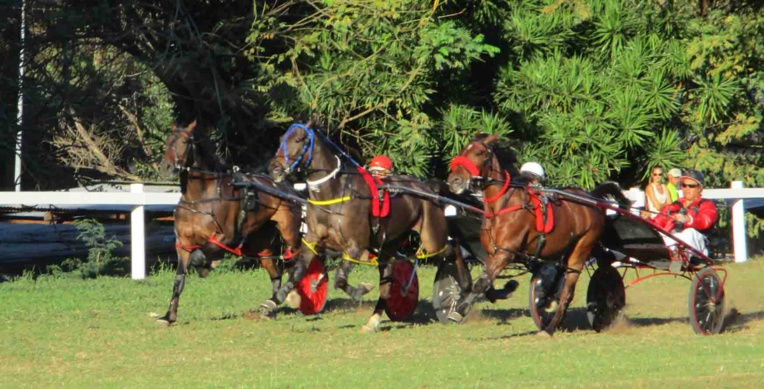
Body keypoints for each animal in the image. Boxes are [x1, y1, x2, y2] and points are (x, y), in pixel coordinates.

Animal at [156, 121, 302, 324]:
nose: (166, 168)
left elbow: (198, 257)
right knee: (275, 274)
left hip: (290, 233)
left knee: (299, 263)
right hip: (261, 244)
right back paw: (271, 306)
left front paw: (207, 265)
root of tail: (288, 189)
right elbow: (179, 279)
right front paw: (169, 316)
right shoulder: (183, 243)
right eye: (168, 141)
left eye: (185, 141)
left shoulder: (226, 237)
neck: (200, 198)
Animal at [268, 123, 472, 330]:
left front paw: (361, 290)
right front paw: (280, 298)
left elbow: (340, 279)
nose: (274, 168)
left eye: (299, 139)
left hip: (432, 238)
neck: (336, 193)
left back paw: (465, 288)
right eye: (281, 139)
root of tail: (429, 189)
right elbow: (297, 272)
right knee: (387, 282)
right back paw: (373, 320)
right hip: (390, 246)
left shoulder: (355, 246)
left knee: (454, 248)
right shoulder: (312, 241)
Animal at [444, 133, 628, 334]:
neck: (503, 206)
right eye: (463, 150)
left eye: (478, 152)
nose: (454, 180)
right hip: (562, 249)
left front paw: (459, 310)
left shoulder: (506, 252)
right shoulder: (492, 252)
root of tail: (591, 199)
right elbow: (486, 283)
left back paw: (551, 327)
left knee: (568, 290)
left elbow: (482, 283)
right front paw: (506, 288)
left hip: (581, 248)